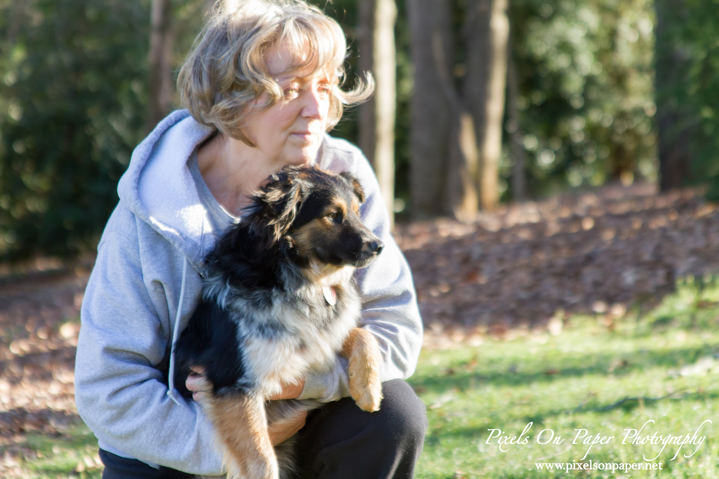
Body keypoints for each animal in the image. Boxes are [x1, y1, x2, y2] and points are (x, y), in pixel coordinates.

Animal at [175, 165, 386, 479]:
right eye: (333, 215)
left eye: (358, 212)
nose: (379, 246)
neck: (291, 273)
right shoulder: (235, 384)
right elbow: (263, 462)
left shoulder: (318, 338)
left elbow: (361, 334)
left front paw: (369, 388)